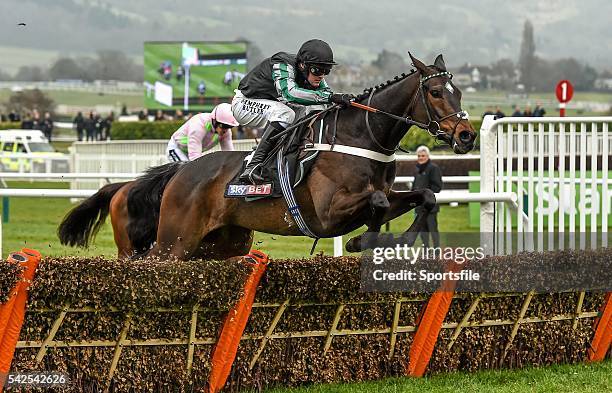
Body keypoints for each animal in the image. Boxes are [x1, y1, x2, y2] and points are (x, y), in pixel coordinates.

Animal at [57, 53, 476, 258]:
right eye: (436, 92)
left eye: (458, 92)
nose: (467, 135)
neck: (362, 136)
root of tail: (180, 173)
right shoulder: (327, 213)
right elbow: (375, 202)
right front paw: (362, 242)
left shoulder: (389, 195)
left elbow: (425, 197)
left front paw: (384, 241)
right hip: (174, 241)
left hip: (222, 243)